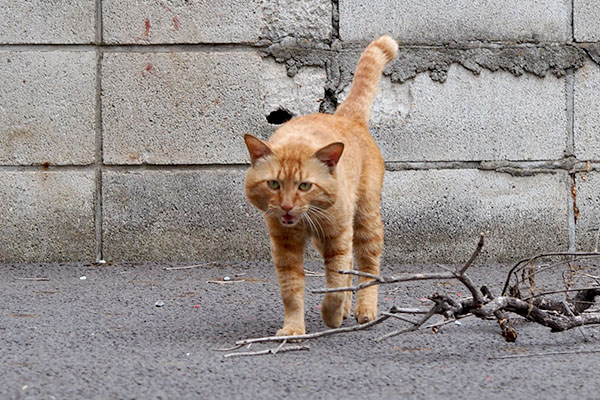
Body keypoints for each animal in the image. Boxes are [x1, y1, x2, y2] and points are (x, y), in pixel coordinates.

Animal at [244, 36, 398, 336]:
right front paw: (293, 328)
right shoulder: (284, 247)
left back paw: (364, 309)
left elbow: (335, 285)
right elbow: (292, 290)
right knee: (352, 266)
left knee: (367, 266)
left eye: (305, 185)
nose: (287, 207)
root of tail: (345, 117)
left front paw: (331, 316)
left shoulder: (337, 238)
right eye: (273, 184)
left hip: (365, 221)